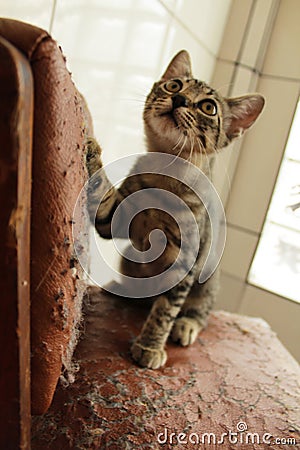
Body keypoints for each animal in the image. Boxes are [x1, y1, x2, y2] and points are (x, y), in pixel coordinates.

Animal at [85, 51, 264, 370]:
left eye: (208, 107)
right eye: (174, 85)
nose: (179, 99)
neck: (164, 176)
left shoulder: (186, 260)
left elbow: (165, 310)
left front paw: (150, 346)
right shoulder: (114, 221)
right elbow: (104, 198)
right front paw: (94, 152)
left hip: (208, 281)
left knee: (199, 312)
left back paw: (186, 325)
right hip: (129, 257)